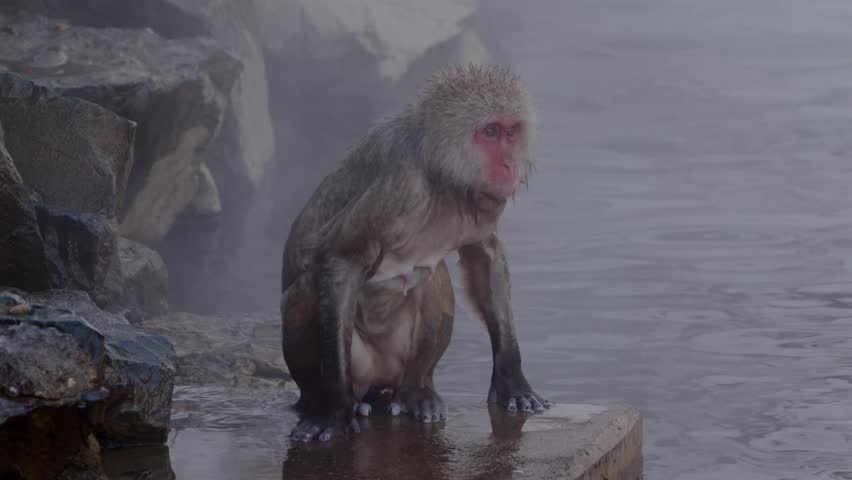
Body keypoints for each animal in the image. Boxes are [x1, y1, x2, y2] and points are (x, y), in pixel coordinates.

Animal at [280, 64, 551, 443]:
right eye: (490, 132)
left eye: (511, 132)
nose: (510, 165)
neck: (441, 176)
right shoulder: (398, 188)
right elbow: (342, 259)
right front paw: (334, 411)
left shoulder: (483, 202)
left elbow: (484, 254)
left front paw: (512, 380)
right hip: (358, 363)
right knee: (307, 290)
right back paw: (325, 400)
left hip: (394, 366)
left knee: (429, 277)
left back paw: (416, 392)